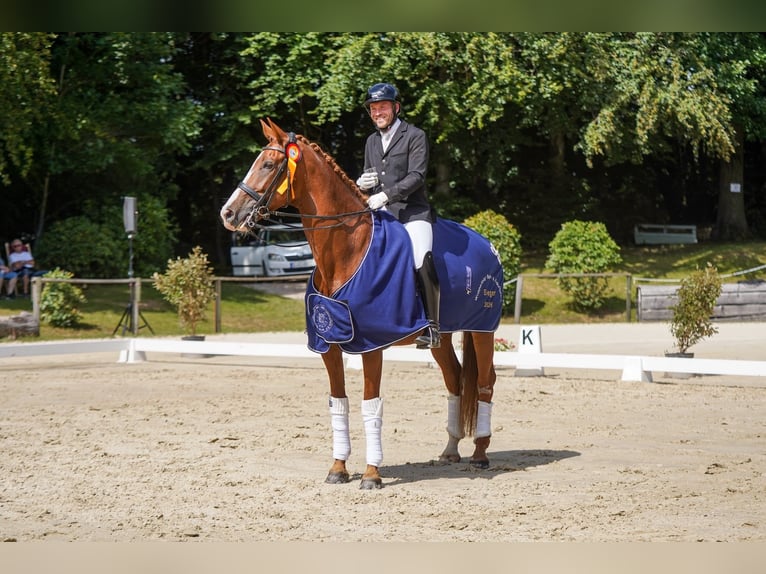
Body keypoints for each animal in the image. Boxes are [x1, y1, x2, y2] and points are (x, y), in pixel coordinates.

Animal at [220, 118, 503, 489]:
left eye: (268, 165)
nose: (228, 213)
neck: (346, 250)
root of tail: (488, 246)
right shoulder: (328, 344)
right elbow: (338, 404)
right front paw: (338, 468)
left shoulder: (372, 344)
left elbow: (372, 405)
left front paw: (371, 474)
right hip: (441, 338)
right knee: (455, 379)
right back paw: (451, 450)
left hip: (483, 330)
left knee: (484, 382)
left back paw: (481, 454)